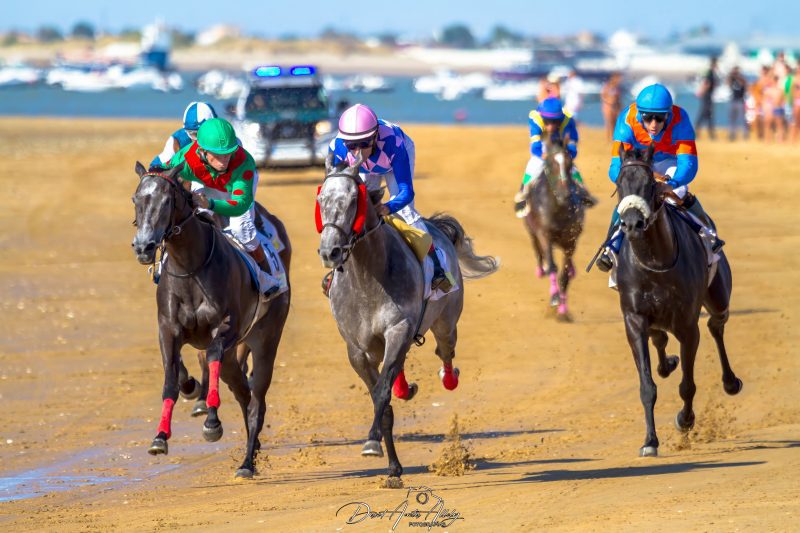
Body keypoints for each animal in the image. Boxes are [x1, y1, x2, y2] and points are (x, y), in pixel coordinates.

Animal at [130, 162, 291, 478]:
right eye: (136, 199)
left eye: (166, 201)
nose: (144, 247)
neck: (190, 267)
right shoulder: (168, 329)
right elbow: (171, 379)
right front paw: (160, 437)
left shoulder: (226, 327)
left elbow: (213, 355)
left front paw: (212, 423)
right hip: (235, 358)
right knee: (243, 393)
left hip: (266, 339)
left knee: (256, 401)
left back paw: (247, 464)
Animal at [316, 157, 498, 482]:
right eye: (321, 200)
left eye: (352, 200)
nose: (330, 251)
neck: (367, 275)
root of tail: (437, 226)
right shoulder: (357, 350)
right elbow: (383, 400)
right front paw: (393, 466)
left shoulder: (398, 329)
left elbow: (381, 393)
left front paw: (372, 443)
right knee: (401, 368)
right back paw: (405, 387)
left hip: (446, 322)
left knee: (444, 351)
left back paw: (448, 377)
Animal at [523, 135, 587, 319]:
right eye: (550, 164)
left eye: (569, 163)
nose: (565, 194)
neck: (559, 209)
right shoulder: (544, 234)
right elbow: (552, 265)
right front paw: (555, 298)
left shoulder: (571, 241)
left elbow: (564, 275)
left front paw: (563, 310)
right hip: (532, 230)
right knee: (538, 250)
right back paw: (540, 269)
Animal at [614, 145, 742, 457]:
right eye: (619, 184)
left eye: (650, 185)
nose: (632, 223)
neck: (654, 261)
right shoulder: (634, 319)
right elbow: (647, 386)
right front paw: (650, 441)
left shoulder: (687, 325)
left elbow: (687, 386)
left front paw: (685, 420)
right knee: (660, 339)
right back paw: (667, 362)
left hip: (718, 297)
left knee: (716, 326)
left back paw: (730, 381)